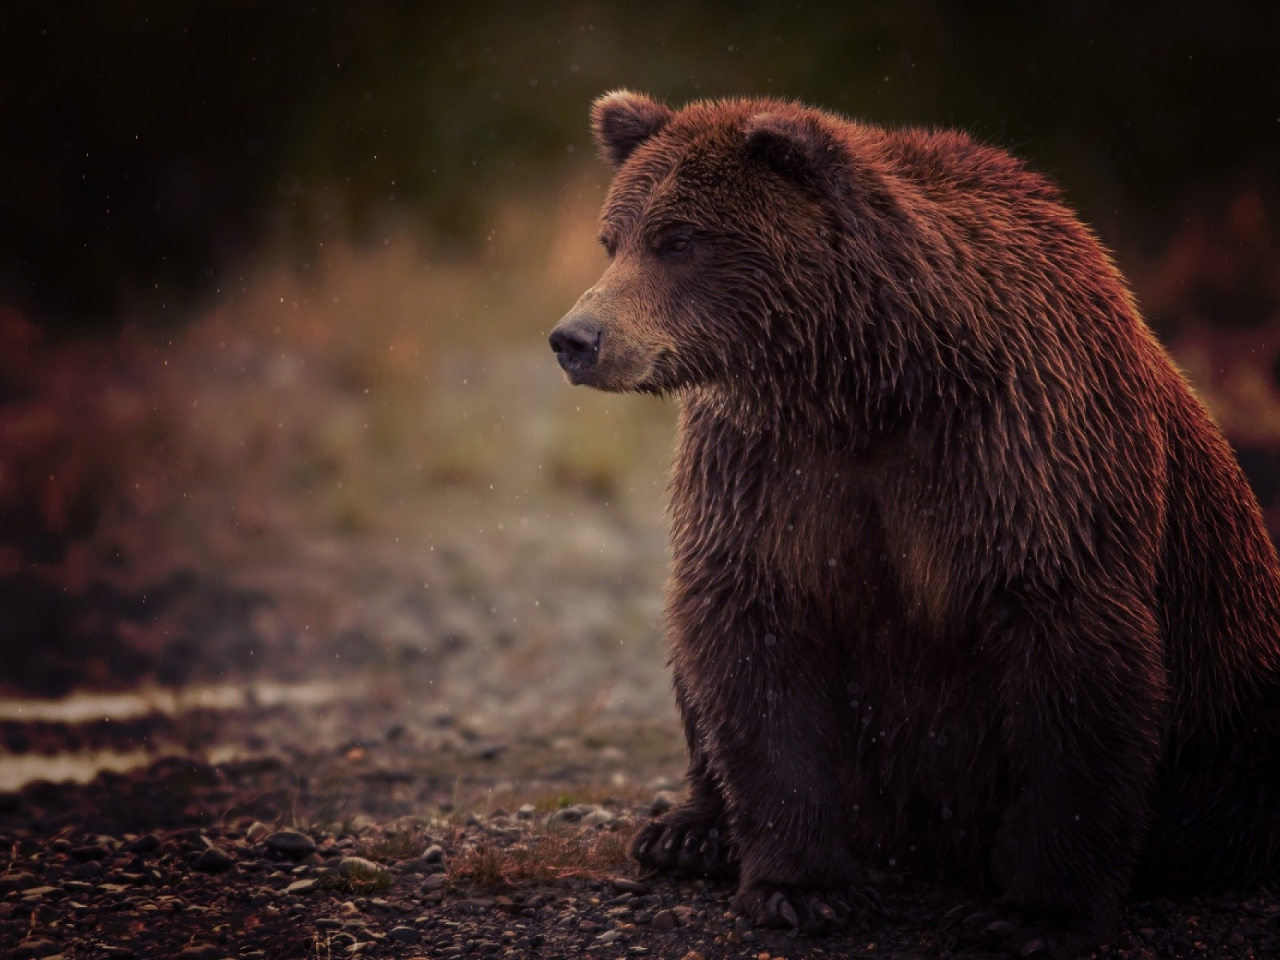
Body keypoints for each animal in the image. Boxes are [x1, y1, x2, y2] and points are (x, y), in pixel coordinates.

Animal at [552, 88, 1280, 957]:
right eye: (613, 239)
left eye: (679, 239)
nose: (576, 338)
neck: (869, 383)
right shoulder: (768, 473)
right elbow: (752, 640)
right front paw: (804, 888)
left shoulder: (1025, 454)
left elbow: (1069, 667)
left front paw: (1032, 913)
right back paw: (687, 832)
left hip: (1237, 715)